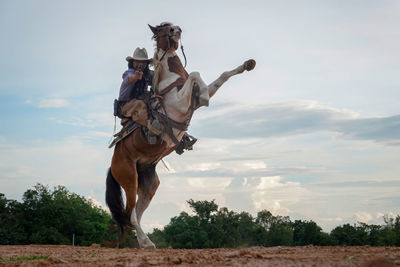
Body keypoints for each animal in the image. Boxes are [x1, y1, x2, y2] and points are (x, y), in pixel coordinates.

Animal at [105, 22, 256, 250]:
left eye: (173, 26)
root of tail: (113, 164)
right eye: (162, 29)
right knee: (130, 215)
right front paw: (204, 97)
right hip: (130, 179)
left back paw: (145, 242)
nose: (177, 30)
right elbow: (195, 74)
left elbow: (219, 76)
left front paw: (247, 64)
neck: (171, 77)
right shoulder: (179, 104)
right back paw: (147, 243)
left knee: (136, 215)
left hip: (148, 184)